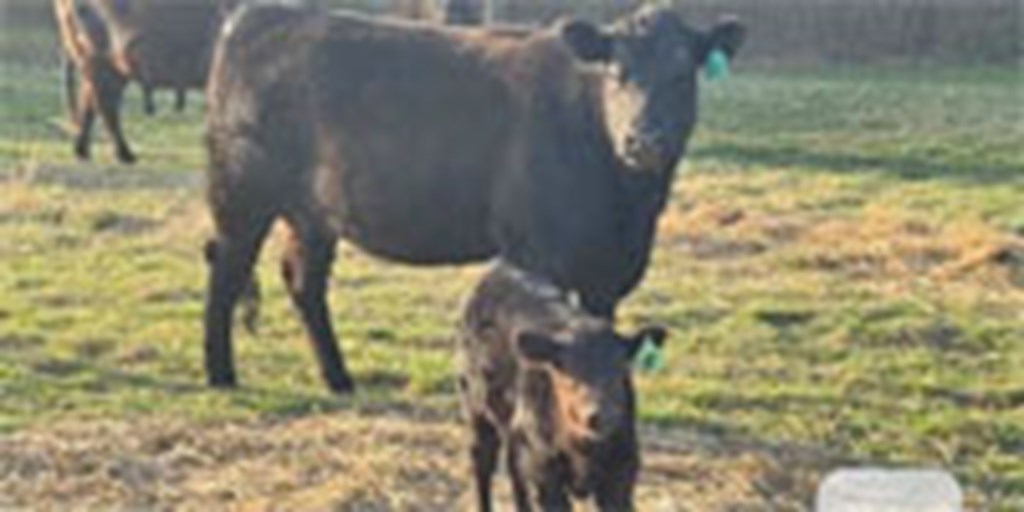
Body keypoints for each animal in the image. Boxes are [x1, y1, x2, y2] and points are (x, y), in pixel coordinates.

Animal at [54, 0, 235, 161]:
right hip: (105, 66)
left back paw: (83, 151)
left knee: (88, 103)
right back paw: (124, 154)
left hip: (103, 68)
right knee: (106, 107)